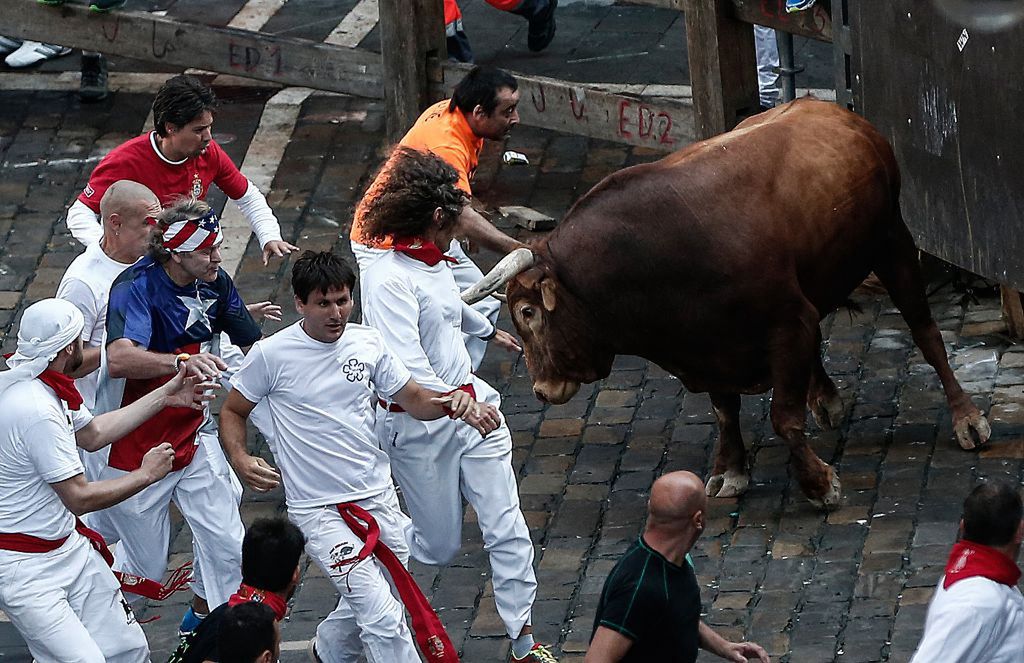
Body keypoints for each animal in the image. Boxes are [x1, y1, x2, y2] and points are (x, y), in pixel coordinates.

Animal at [466, 97, 991, 508]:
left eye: (529, 312)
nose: (542, 389)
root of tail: (839, 112)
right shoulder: (707, 346)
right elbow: (725, 410)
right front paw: (731, 469)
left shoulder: (787, 322)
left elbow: (784, 417)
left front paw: (819, 484)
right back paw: (825, 397)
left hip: (893, 242)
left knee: (925, 332)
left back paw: (966, 417)